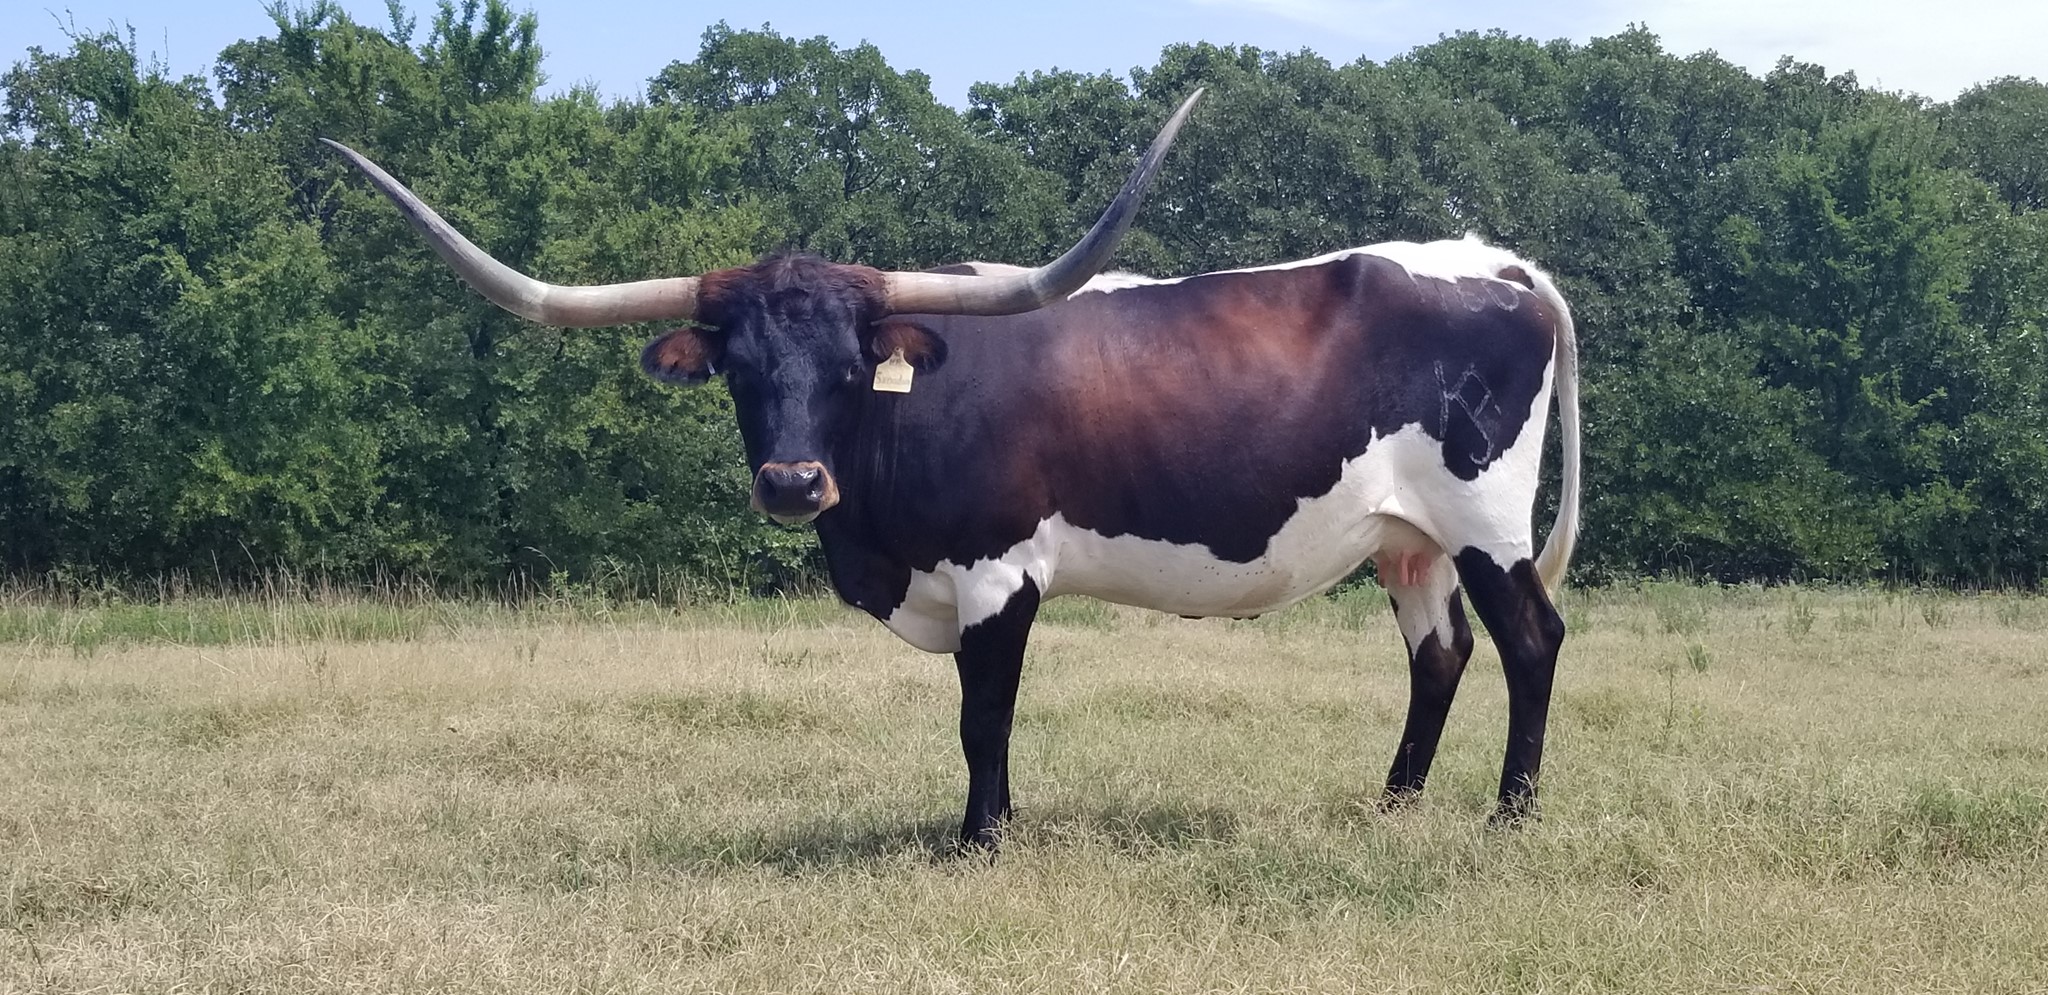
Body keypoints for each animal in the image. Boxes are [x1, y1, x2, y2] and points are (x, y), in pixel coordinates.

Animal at [322, 90, 1581, 849]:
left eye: (847, 365)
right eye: (738, 370)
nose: (791, 484)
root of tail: (1498, 264)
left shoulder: (994, 569)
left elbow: (985, 713)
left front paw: (980, 836)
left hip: (1483, 519)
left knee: (1529, 639)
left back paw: (1509, 816)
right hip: (1404, 538)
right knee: (1438, 654)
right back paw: (1394, 803)